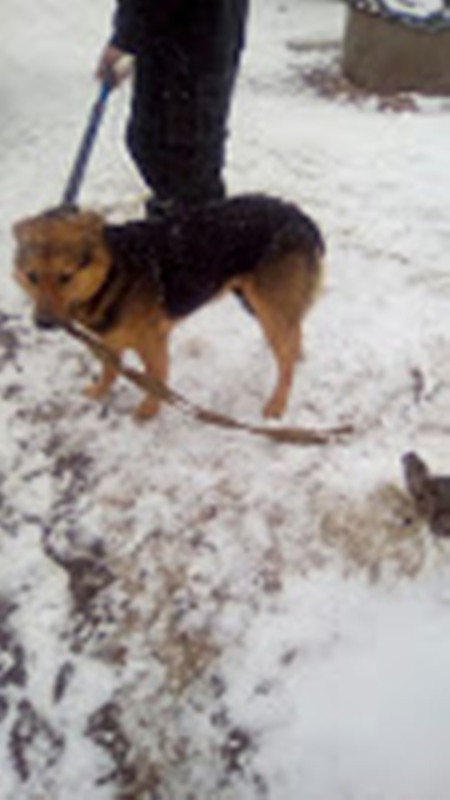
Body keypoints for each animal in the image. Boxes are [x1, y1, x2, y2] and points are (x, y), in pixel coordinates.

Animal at [13, 194, 324, 419]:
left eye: (66, 276)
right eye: (32, 276)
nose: (43, 323)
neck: (113, 273)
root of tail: (300, 216)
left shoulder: (151, 341)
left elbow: (155, 377)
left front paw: (149, 410)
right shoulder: (110, 340)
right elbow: (110, 370)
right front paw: (99, 391)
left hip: (268, 310)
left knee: (286, 360)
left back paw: (278, 403)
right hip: (258, 303)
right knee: (294, 337)